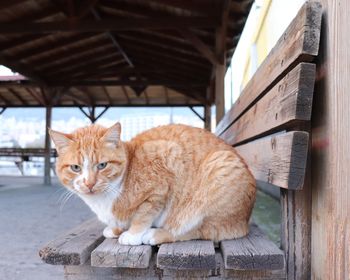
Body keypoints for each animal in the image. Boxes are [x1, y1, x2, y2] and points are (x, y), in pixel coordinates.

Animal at [49, 123, 256, 244]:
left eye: (102, 165)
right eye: (76, 168)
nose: (89, 183)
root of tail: (245, 220)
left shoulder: (165, 164)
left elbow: (143, 214)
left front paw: (132, 234)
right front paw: (115, 229)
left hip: (219, 173)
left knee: (201, 231)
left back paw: (156, 234)